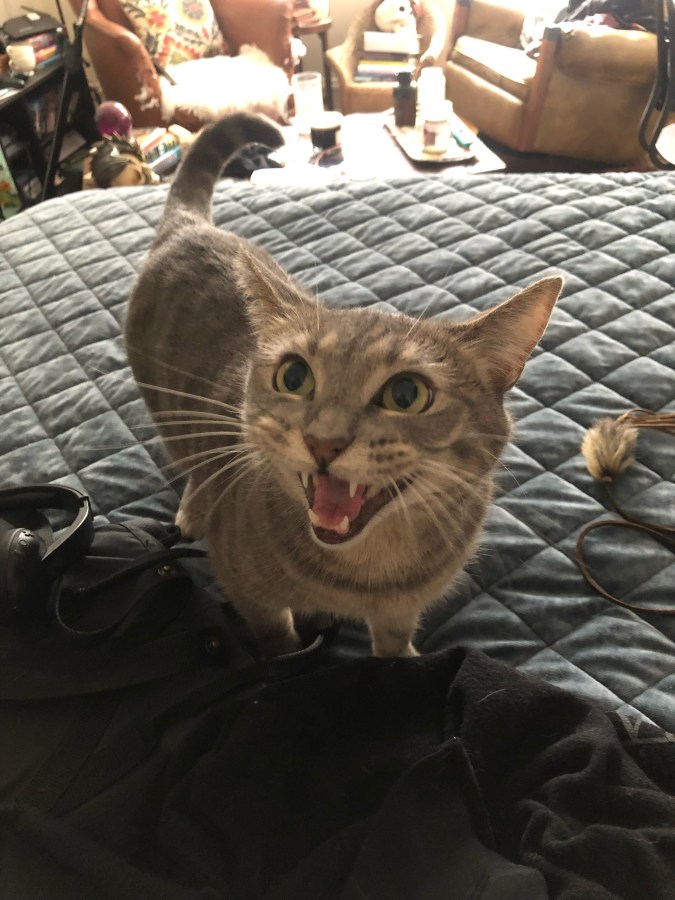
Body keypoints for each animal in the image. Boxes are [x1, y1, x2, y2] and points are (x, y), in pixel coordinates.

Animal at [125, 116, 560, 656]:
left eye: (406, 394)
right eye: (293, 377)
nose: (322, 442)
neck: (364, 578)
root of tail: (190, 227)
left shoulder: (402, 606)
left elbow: (394, 639)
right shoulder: (247, 592)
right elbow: (277, 636)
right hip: (168, 412)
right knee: (191, 462)